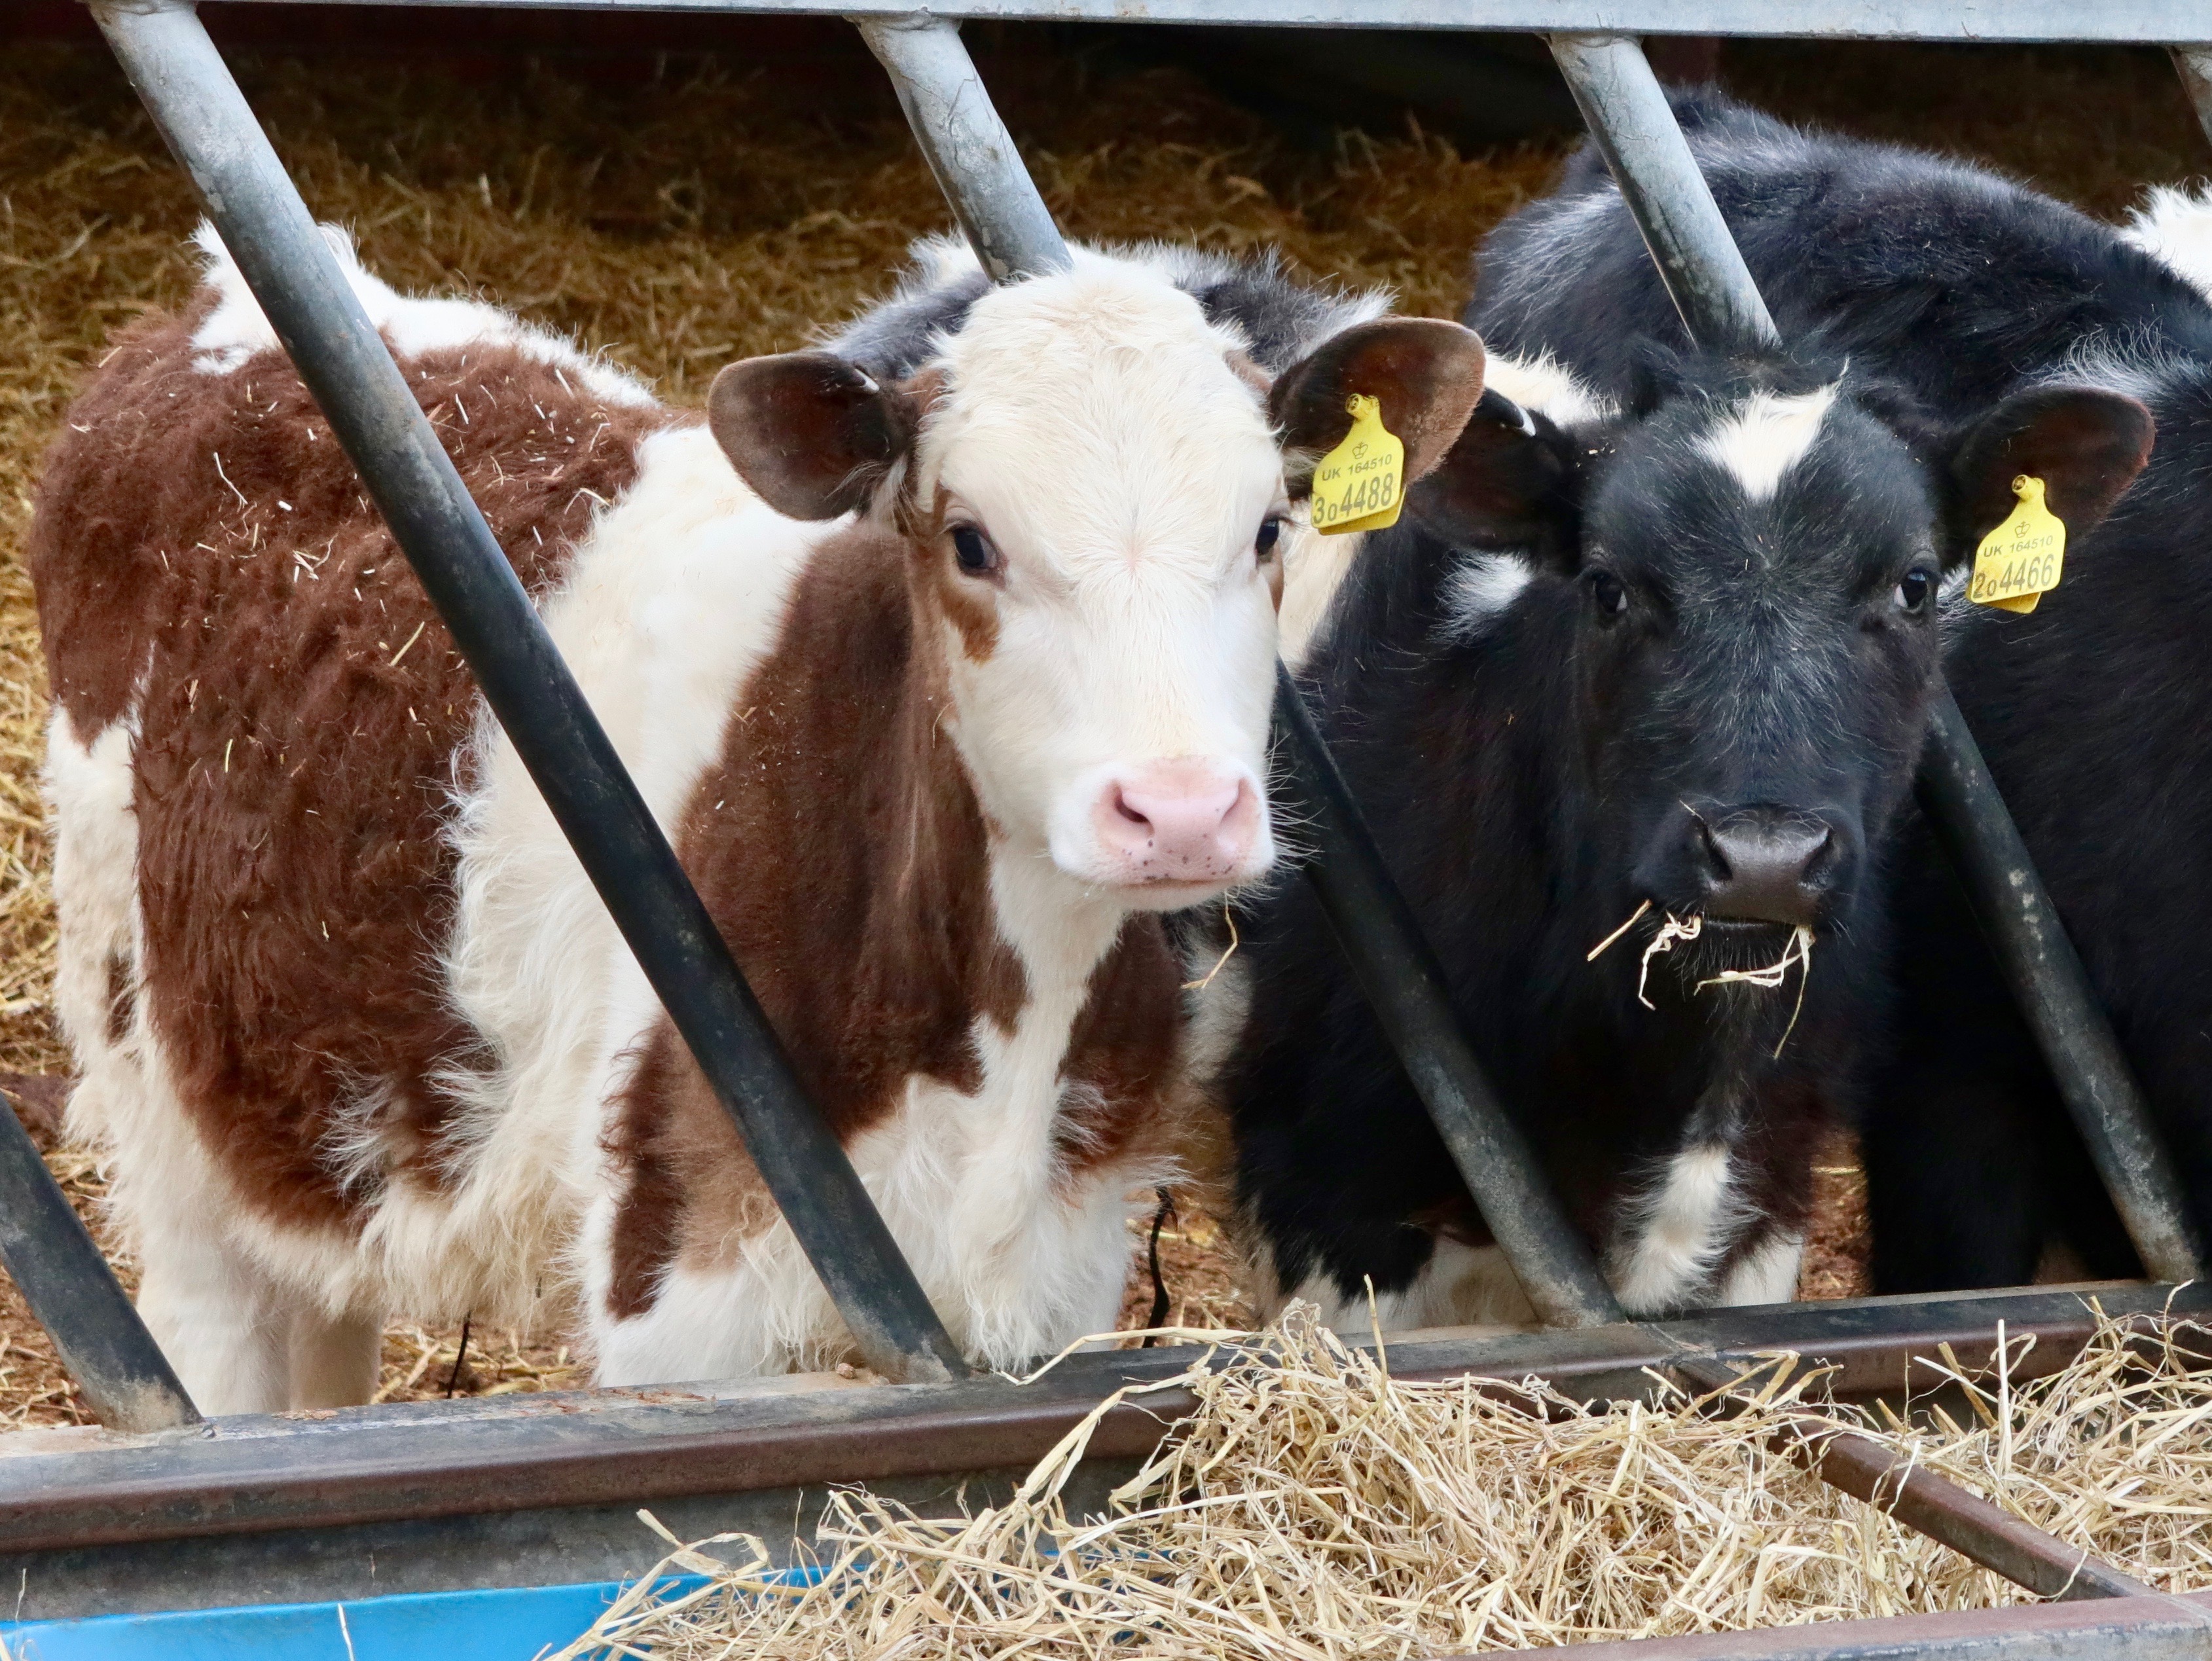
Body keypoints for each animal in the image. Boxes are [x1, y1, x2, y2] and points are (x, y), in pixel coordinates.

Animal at [34, 225, 1494, 1411]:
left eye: (1268, 529)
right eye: (970, 539)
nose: (1181, 809)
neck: (997, 1034)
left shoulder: (1064, 1257)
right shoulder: (681, 1270)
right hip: (156, 1086)